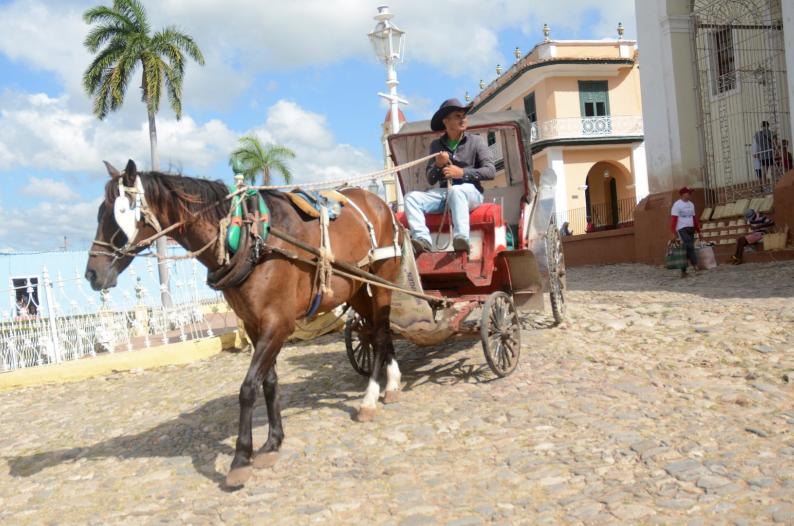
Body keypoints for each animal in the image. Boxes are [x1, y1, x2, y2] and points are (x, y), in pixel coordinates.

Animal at [86, 159, 402, 488]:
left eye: (119, 213)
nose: (92, 274)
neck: (249, 238)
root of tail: (380, 203)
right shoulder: (254, 324)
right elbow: (270, 382)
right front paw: (273, 442)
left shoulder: (279, 324)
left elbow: (248, 387)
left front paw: (240, 458)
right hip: (356, 289)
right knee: (377, 332)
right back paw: (391, 384)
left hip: (381, 282)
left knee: (380, 334)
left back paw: (371, 399)